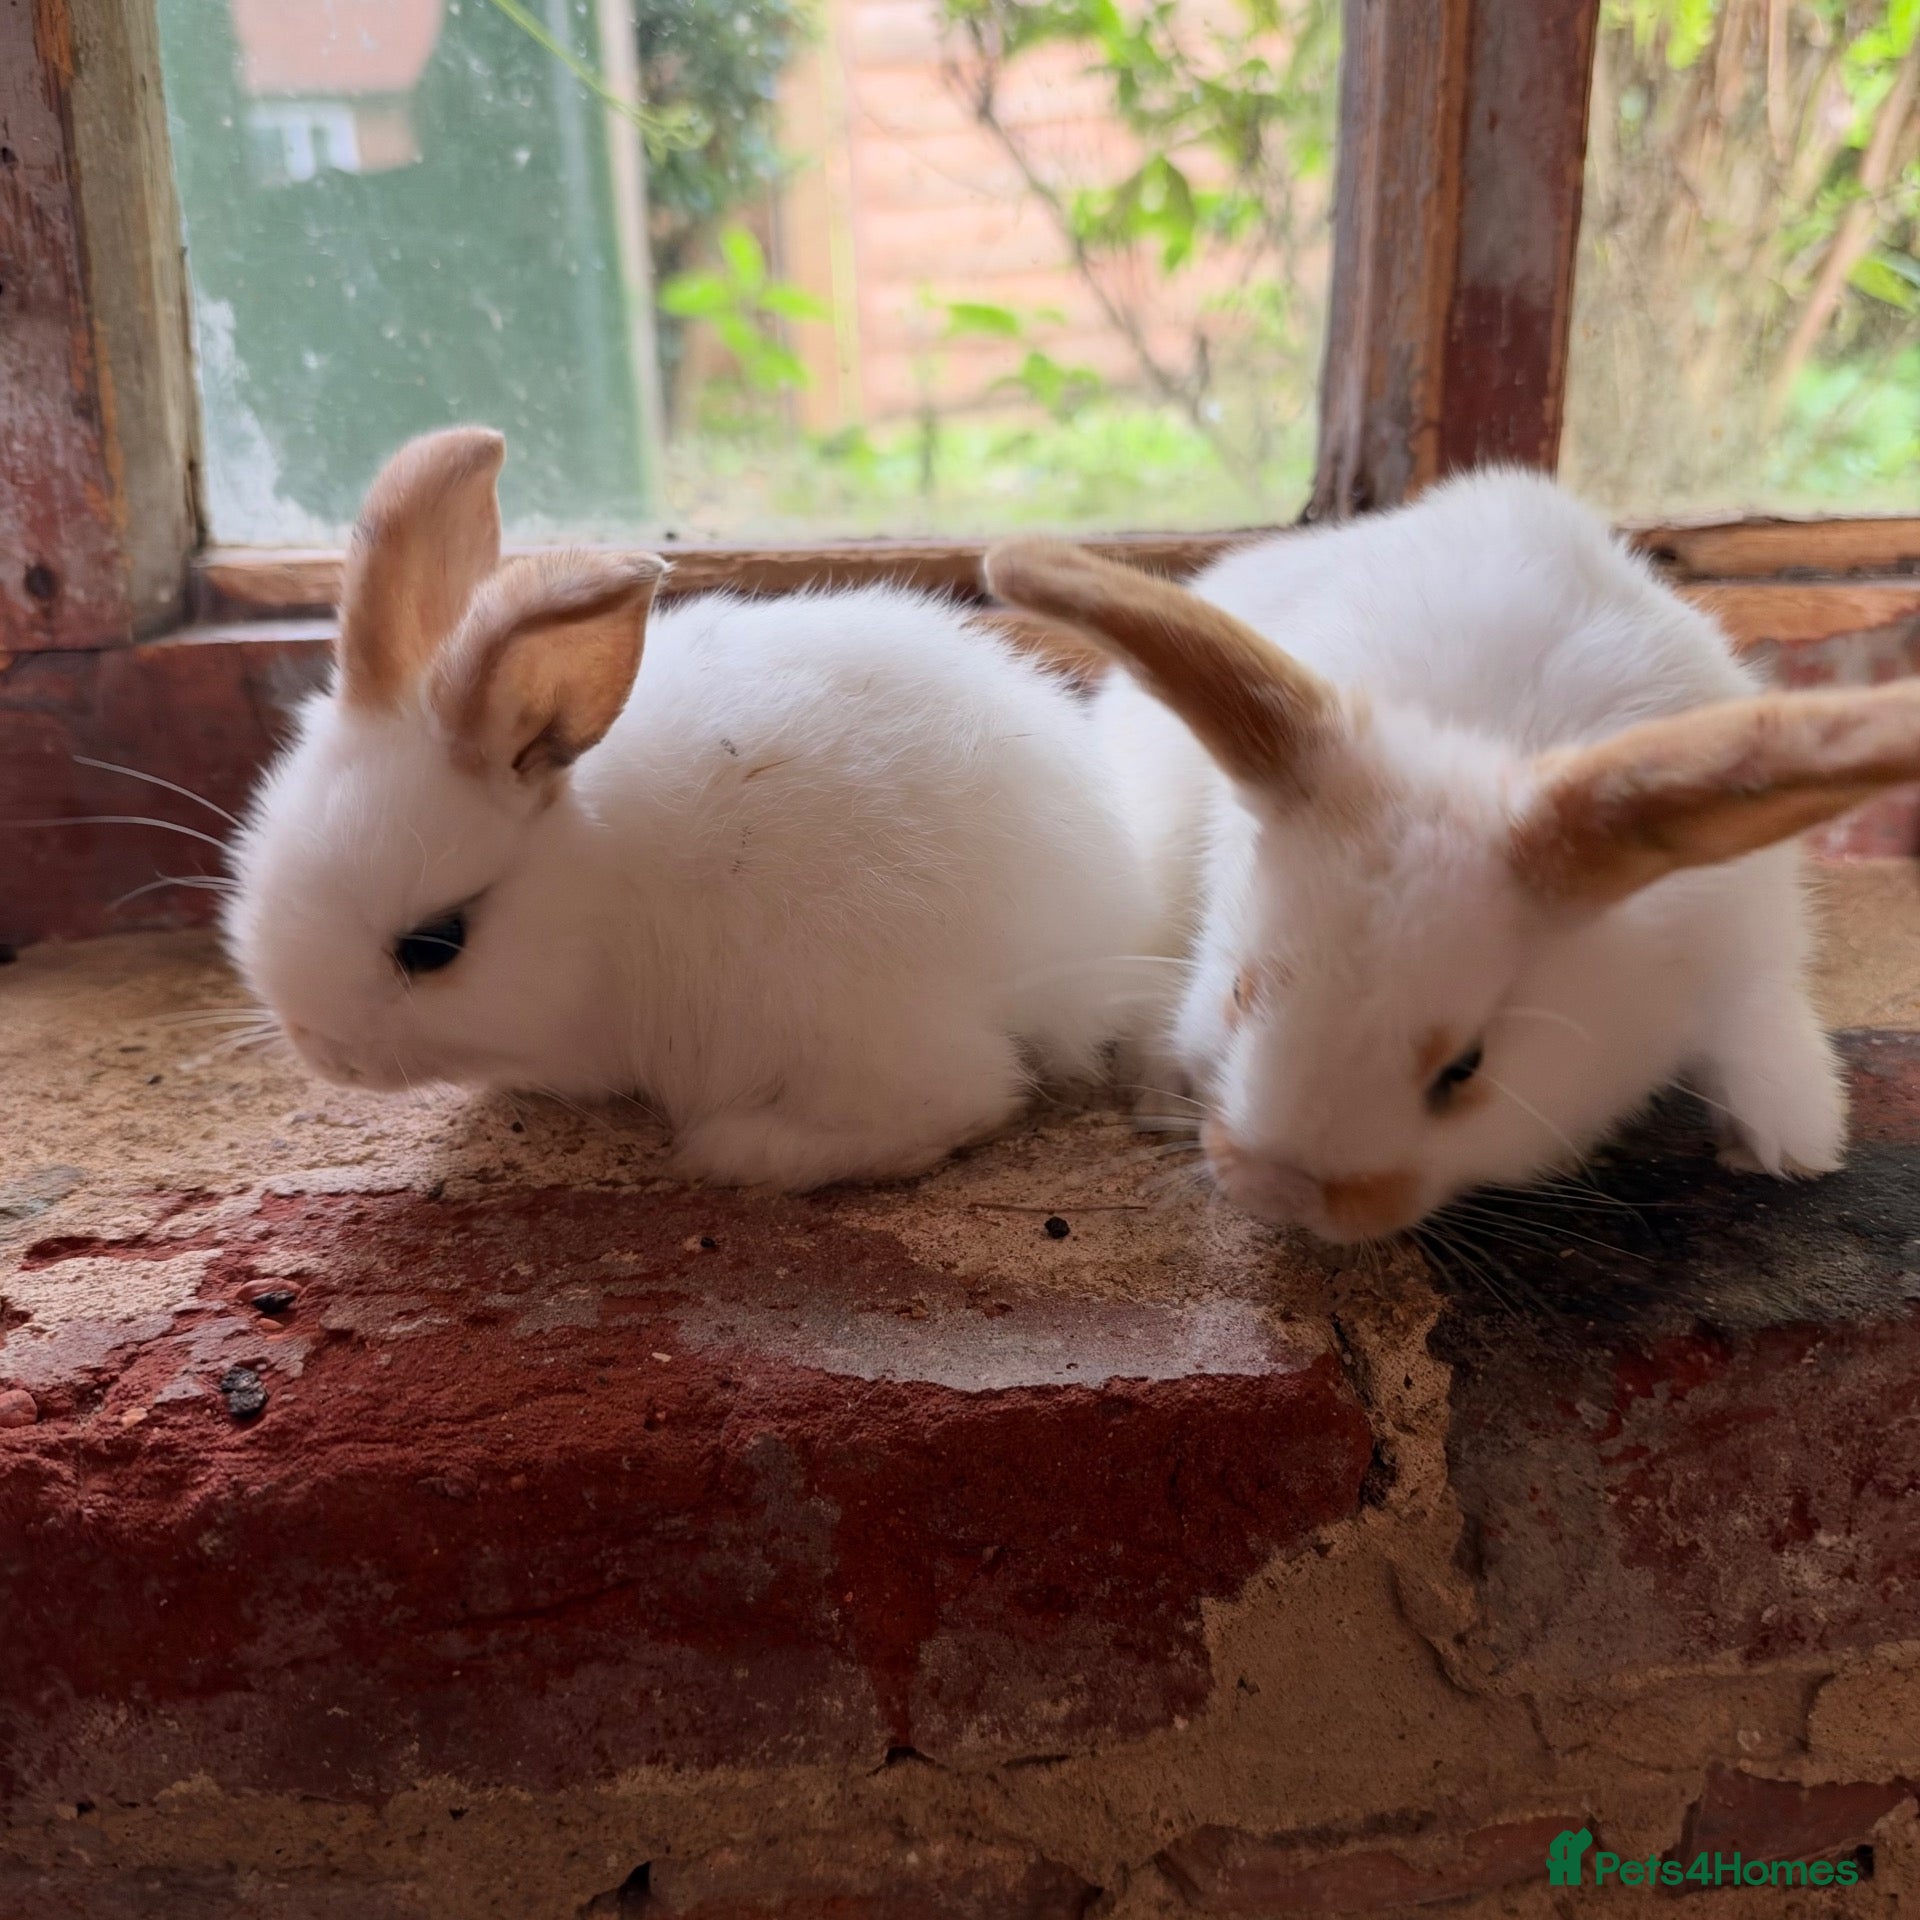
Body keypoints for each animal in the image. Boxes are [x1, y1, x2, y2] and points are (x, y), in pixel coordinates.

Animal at [224, 426, 1154, 1191]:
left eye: (433, 945)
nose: (323, 1051)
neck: (589, 895)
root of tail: (1090, 925)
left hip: (829, 998)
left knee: (966, 1100)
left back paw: (742, 1150)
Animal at [985, 468, 1920, 1245]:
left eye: (1465, 1068)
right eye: (1244, 992)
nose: (1278, 1190)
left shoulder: (1744, 941)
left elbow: (1758, 1033)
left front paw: (1789, 1142)